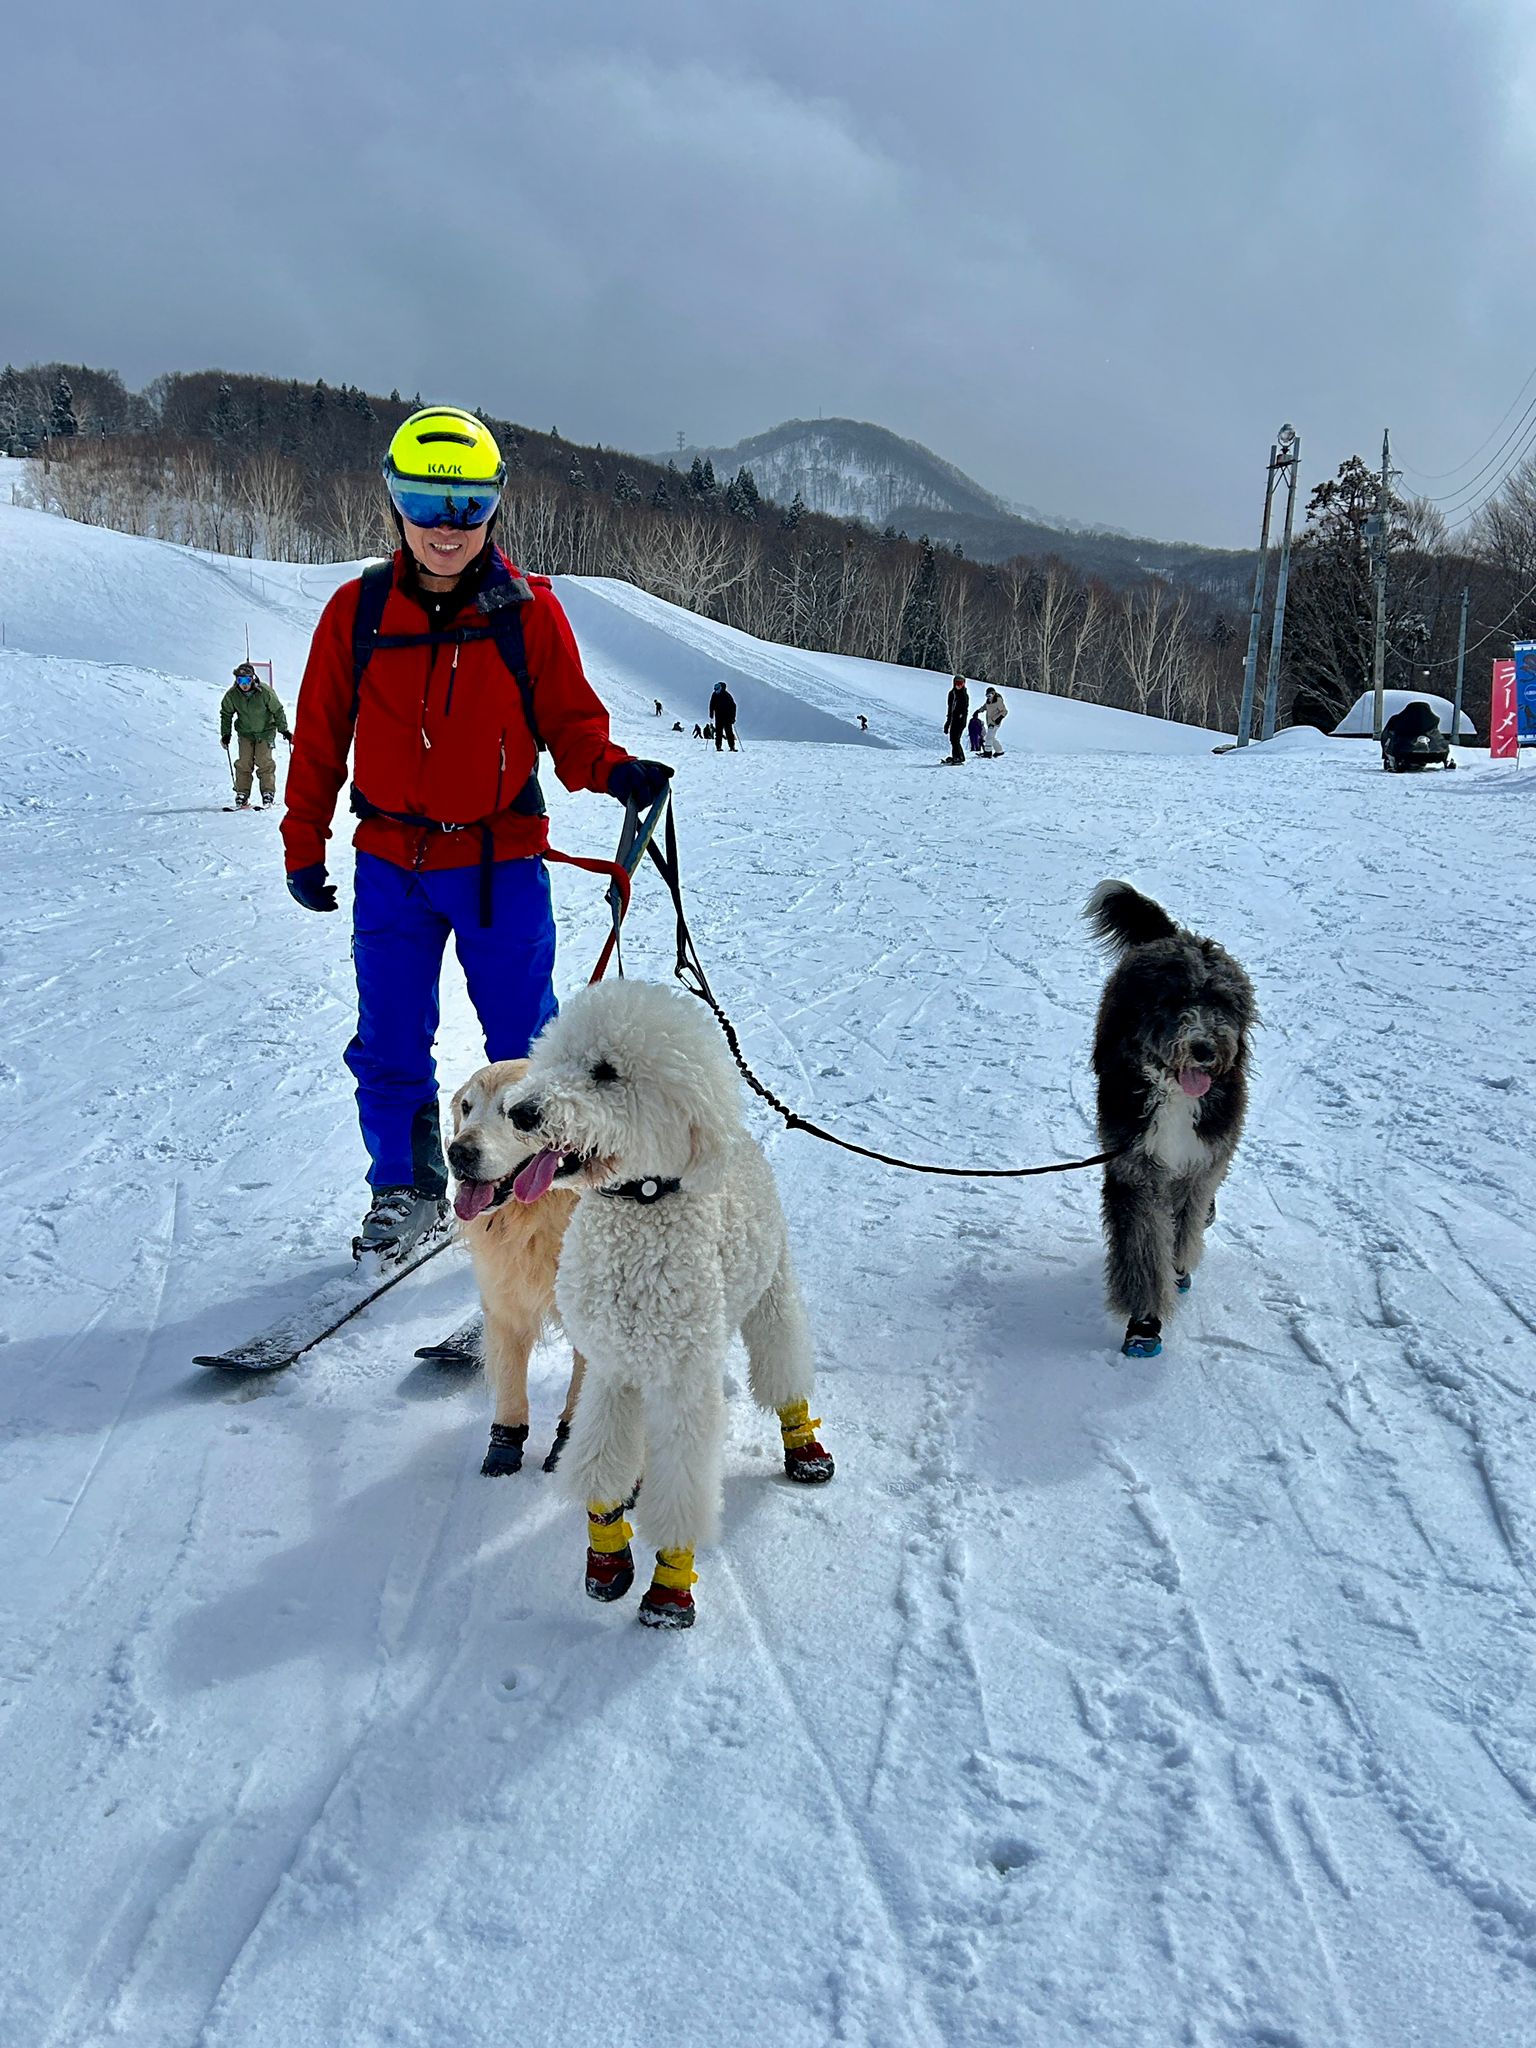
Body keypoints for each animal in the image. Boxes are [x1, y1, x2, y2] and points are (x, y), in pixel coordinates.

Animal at [1089, 884, 1253, 1351]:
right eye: (1176, 999)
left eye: (1222, 1002)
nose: (1204, 1048)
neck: (1175, 1097)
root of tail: (1178, 937)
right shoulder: (1134, 1166)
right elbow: (1144, 1243)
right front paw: (1144, 1322)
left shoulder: (1201, 1159)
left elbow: (1185, 1224)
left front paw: (1179, 1266)